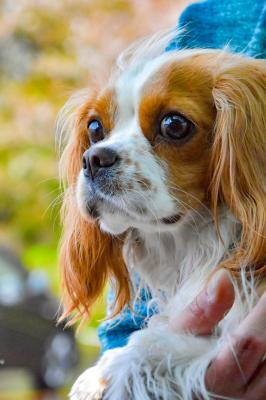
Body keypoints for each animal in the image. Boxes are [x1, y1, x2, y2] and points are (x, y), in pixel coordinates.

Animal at [57, 32, 266, 398]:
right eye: (95, 128)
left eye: (174, 124)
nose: (93, 158)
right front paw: (98, 374)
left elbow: (146, 353)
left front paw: (113, 373)